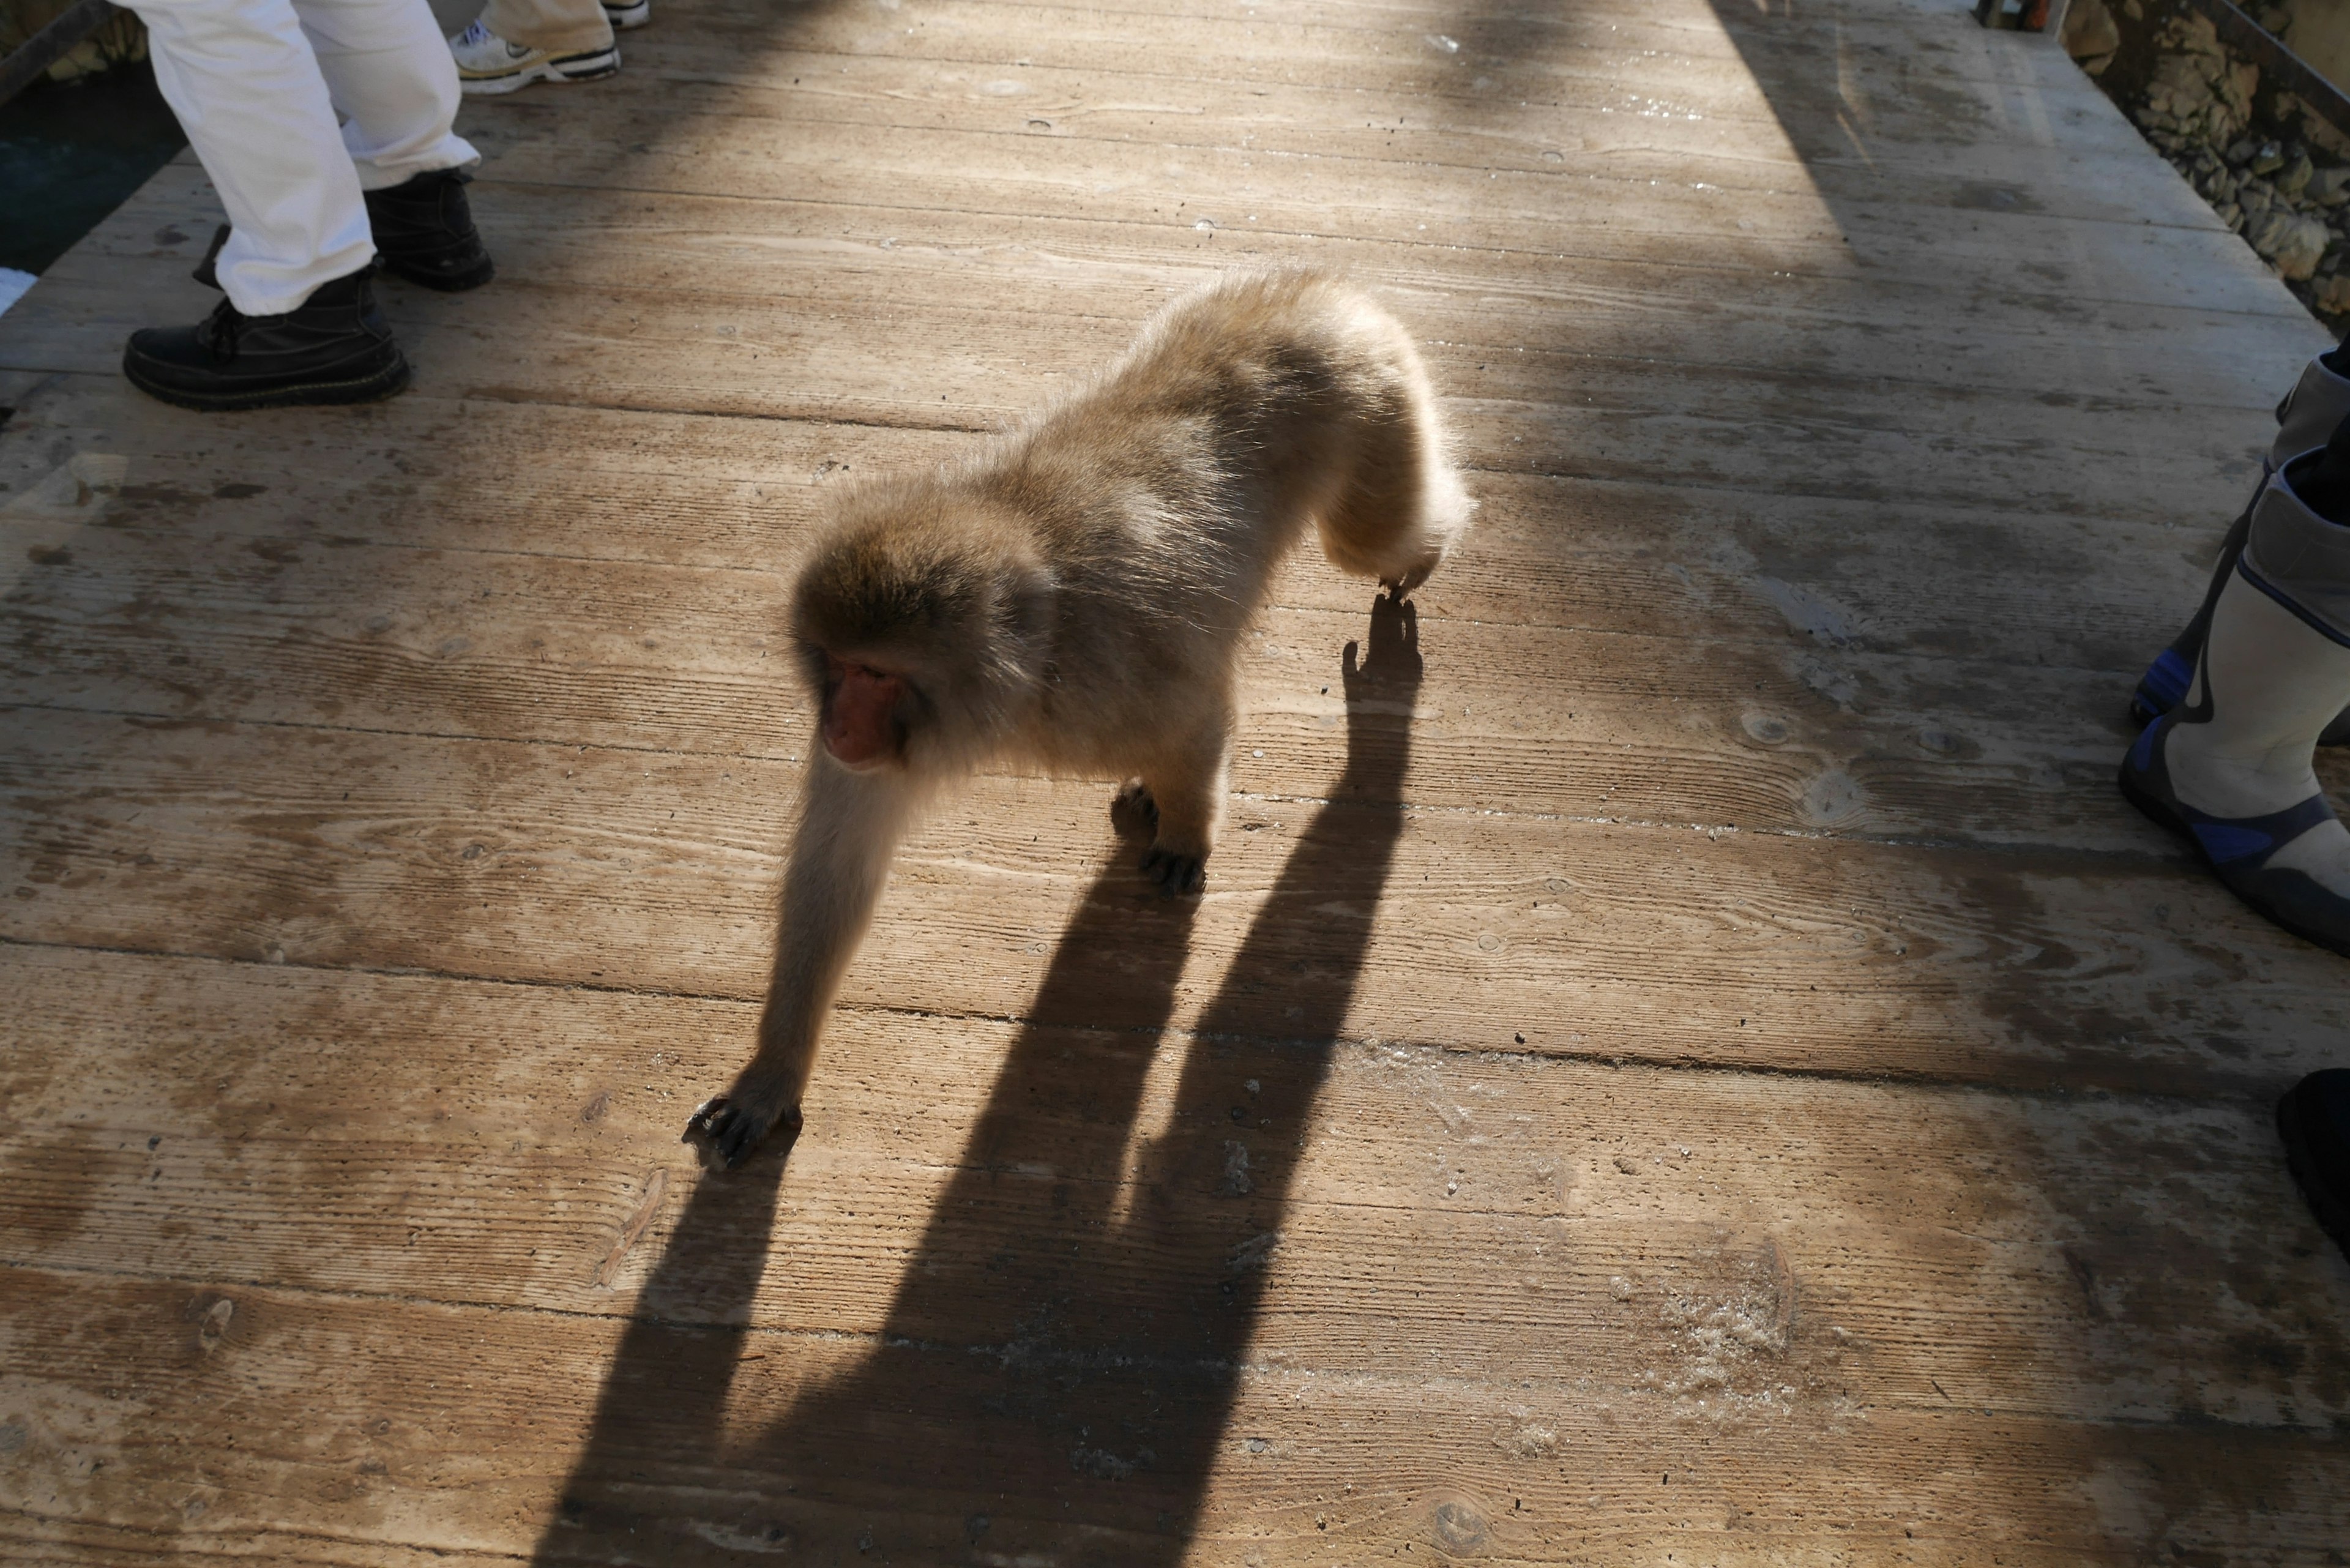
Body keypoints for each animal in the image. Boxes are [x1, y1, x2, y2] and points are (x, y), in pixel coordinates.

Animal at [681, 270, 1475, 1170]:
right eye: (839, 666)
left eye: (878, 674)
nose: (838, 729)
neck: (1029, 652)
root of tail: (1314, 289)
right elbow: (835, 871)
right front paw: (772, 1075)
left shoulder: (1102, 682)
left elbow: (1198, 711)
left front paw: (1191, 828)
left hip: (1374, 406)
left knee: (1371, 538)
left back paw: (1422, 558)